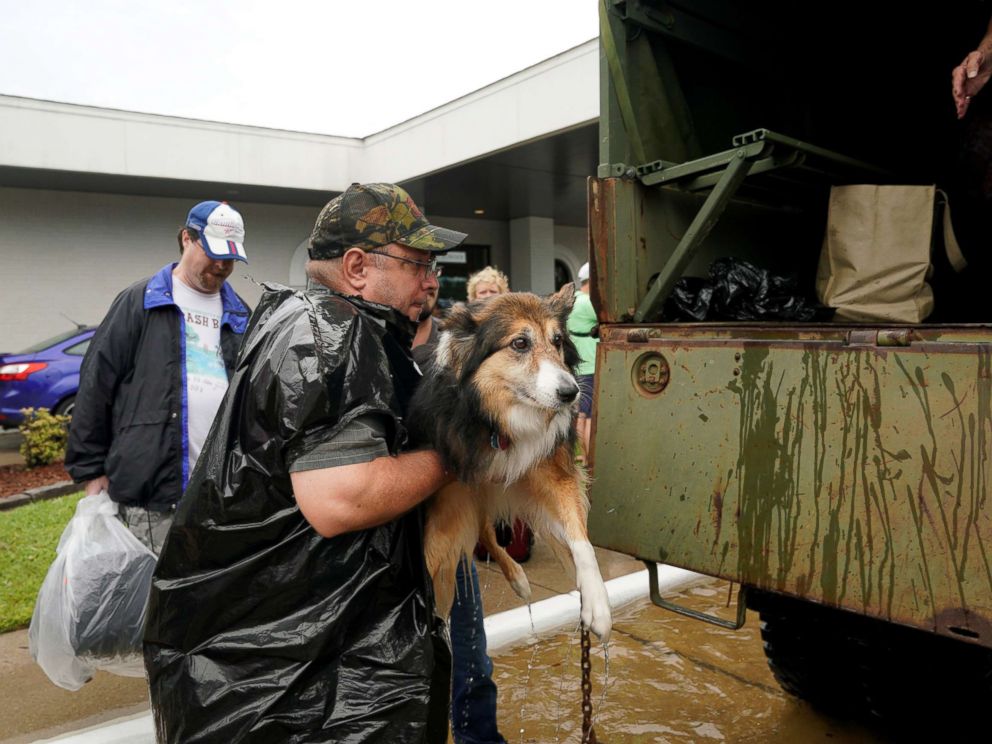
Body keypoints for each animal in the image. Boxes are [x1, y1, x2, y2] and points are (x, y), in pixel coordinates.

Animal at [408, 282, 612, 644]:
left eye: (557, 341)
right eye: (520, 343)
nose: (571, 393)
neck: (498, 420)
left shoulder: (551, 473)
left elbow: (582, 541)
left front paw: (597, 604)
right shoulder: (450, 497)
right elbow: (435, 562)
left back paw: (518, 578)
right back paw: (516, 575)